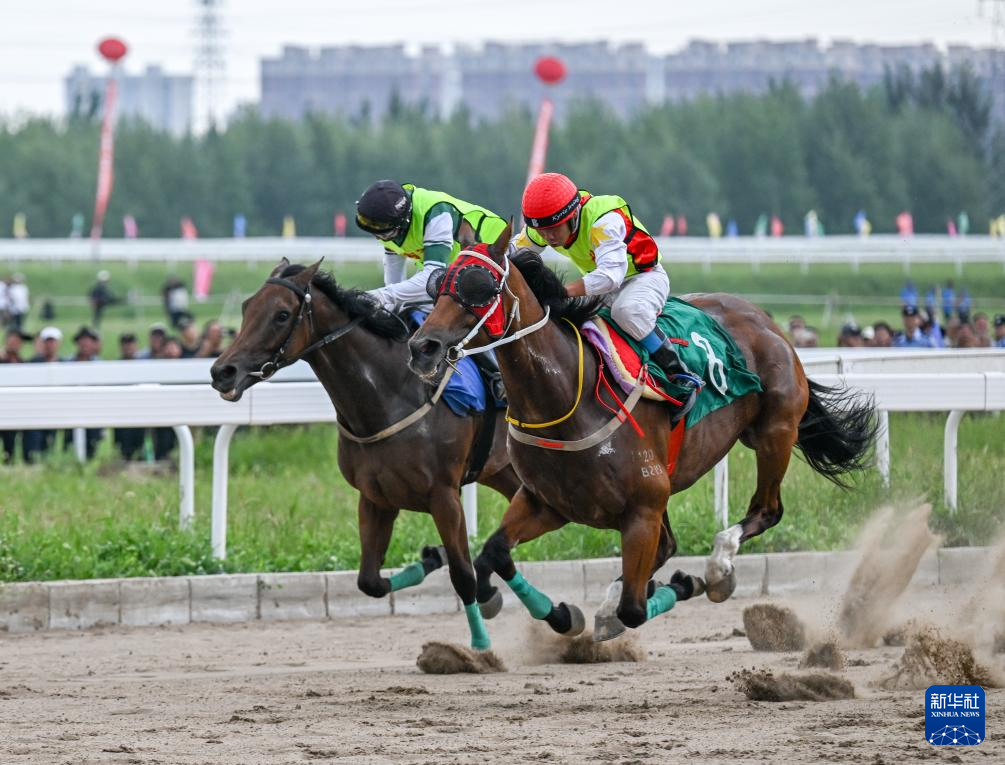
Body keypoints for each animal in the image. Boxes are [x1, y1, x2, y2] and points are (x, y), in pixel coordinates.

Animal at [209, 259, 522, 647]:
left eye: (281, 315)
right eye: (246, 307)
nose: (223, 371)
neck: (390, 396)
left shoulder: (444, 496)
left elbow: (462, 575)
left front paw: (481, 643)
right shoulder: (376, 497)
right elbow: (369, 581)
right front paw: (431, 559)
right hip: (504, 470)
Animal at [406, 225, 872, 639]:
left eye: (479, 286)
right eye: (437, 284)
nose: (422, 347)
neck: (564, 398)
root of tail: (764, 320)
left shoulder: (641, 509)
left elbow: (634, 608)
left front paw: (681, 584)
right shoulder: (547, 502)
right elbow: (492, 554)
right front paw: (561, 614)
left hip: (774, 430)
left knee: (766, 510)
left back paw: (718, 568)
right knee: (669, 545)